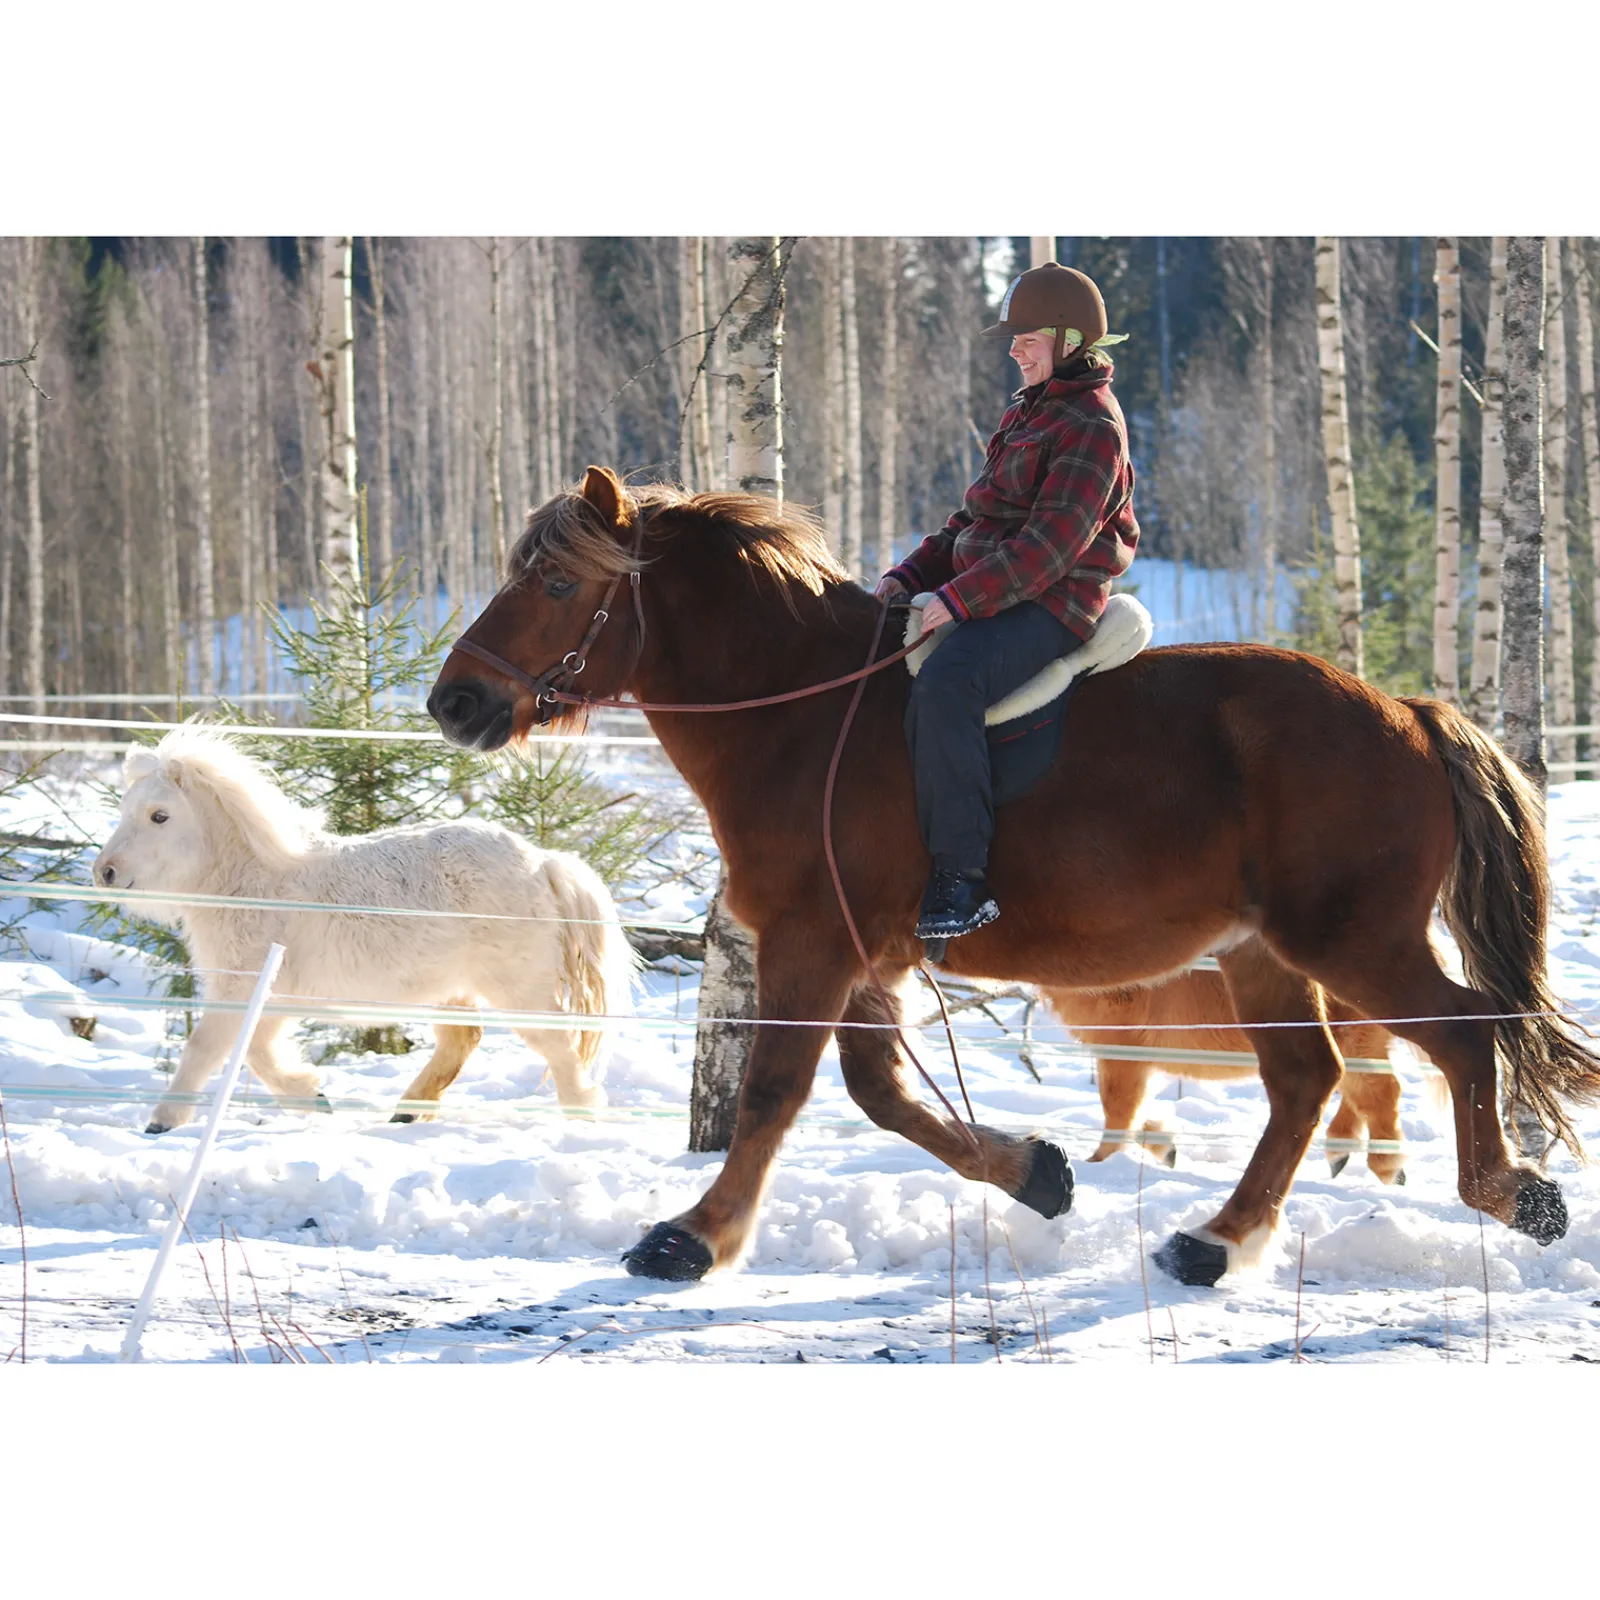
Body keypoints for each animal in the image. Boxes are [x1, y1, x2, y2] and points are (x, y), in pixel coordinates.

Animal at [92, 729, 634, 1133]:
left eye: (159, 816)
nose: (105, 873)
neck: (254, 880)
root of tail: (543, 862)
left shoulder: (241, 987)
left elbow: (207, 1046)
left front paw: (162, 1121)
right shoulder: (270, 996)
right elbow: (258, 1053)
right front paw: (310, 1097)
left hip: (518, 988)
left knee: (559, 1045)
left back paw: (581, 1113)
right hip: (452, 989)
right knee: (462, 1041)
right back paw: (407, 1111)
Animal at [1043, 970, 1408, 1182]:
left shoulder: (1121, 1049)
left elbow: (1119, 1108)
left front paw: (1097, 1164)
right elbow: (1136, 1110)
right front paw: (1165, 1148)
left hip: (1354, 1040)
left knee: (1381, 1092)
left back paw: (1387, 1167)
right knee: (1363, 1094)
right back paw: (1341, 1154)